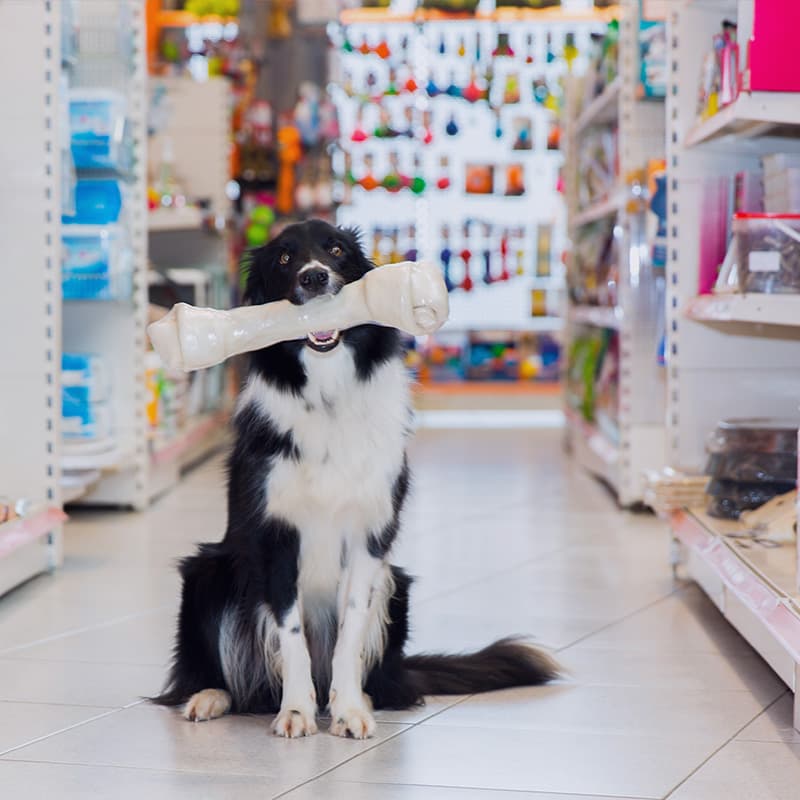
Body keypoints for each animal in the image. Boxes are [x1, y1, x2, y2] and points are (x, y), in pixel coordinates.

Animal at [153, 217, 560, 736]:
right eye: (284, 258)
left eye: (336, 250)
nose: (314, 278)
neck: (327, 393)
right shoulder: (276, 537)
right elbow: (291, 636)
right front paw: (297, 711)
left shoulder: (370, 537)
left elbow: (349, 630)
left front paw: (347, 709)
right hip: (209, 570)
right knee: (224, 675)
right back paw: (210, 696)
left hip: (397, 585)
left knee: (386, 682)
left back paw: (366, 696)